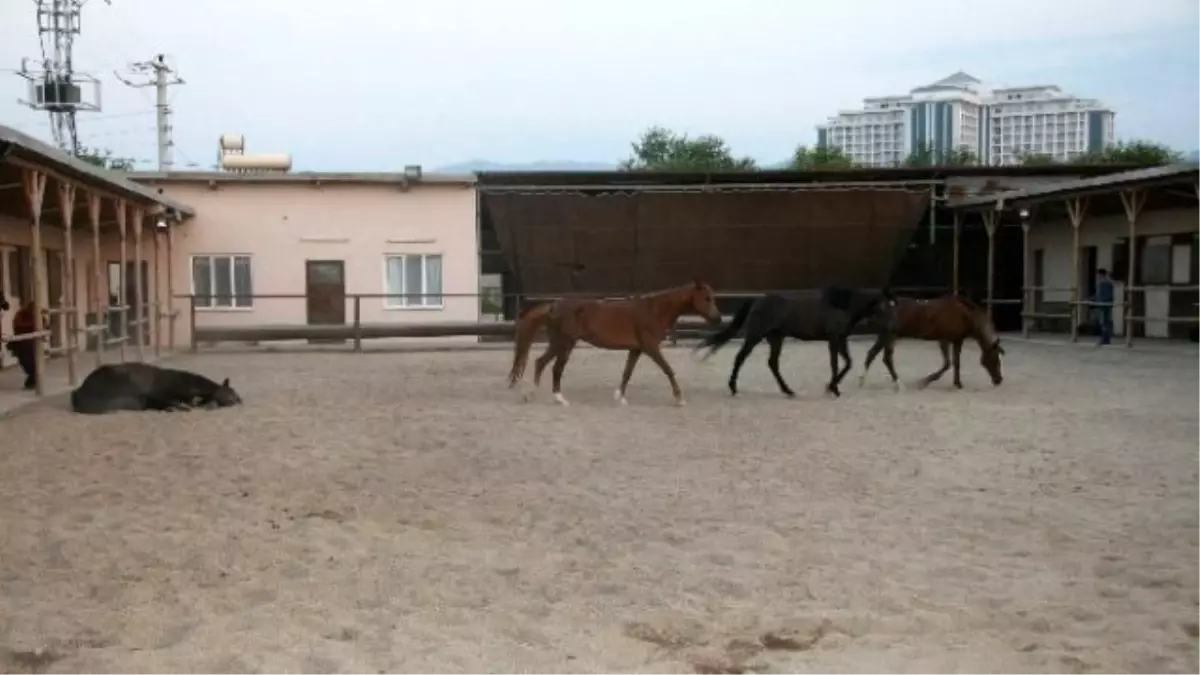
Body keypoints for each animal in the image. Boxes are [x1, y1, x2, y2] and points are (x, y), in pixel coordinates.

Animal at [506, 278, 720, 403]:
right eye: (707, 298)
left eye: (712, 297)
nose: (717, 319)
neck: (654, 310)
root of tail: (554, 305)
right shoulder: (651, 347)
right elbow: (667, 369)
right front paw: (679, 397)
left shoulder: (637, 349)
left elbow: (627, 372)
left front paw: (620, 397)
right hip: (564, 343)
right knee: (551, 366)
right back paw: (556, 398)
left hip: (560, 343)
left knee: (542, 363)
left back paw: (535, 394)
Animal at [691, 282, 897, 393]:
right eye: (885, 305)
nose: (891, 326)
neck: (841, 305)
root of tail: (757, 300)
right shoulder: (833, 339)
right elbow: (836, 364)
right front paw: (833, 388)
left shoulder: (841, 339)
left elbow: (847, 363)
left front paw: (832, 386)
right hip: (755, 336)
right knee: (741, 357)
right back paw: (733, 387)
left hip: (776, 338)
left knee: (772, 363)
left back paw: (788, 390)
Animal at [859, 294, 1008, 389]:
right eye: (996, 360)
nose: (999, 380)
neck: (963, 314)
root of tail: (883, 306)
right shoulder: (944, 340)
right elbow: (947, 364)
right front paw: (924, 382)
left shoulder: (957, 340)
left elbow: (956, 363)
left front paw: (958, 383)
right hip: (888, 336)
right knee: (880, 357)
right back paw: (896, 384)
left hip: (889, 337)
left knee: (879, 356)